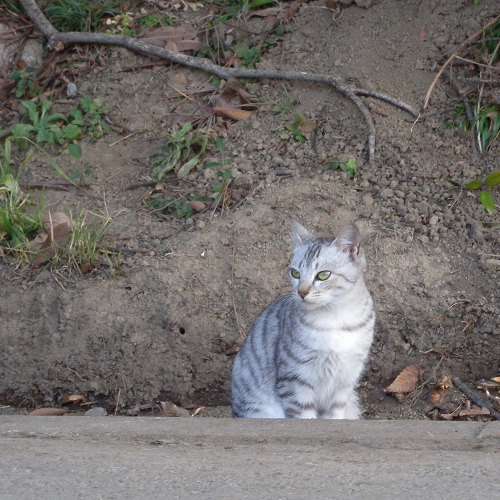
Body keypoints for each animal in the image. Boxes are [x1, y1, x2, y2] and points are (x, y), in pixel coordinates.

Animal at [231, 221, 376, 420]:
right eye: (295, 273)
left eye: (323, 275)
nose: (301, 292)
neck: (336, 318)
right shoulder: (294, 378)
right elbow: (304, 416)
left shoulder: (345, 380)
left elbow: (335, 415)